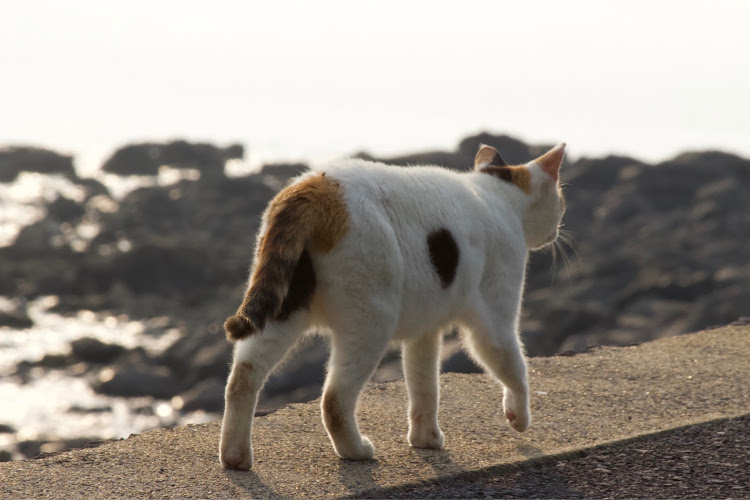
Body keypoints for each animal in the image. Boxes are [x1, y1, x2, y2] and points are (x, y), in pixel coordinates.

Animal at [220, 140, 568, 468]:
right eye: (562, 204)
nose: (558, 231)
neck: (496, 193)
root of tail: (315, 188)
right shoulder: (495, 320)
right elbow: (513, 367)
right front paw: (519, 418)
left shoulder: (425, 331)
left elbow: (423, 382)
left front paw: (425, 439)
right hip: (371, 322)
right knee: (334, 399)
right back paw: (356, 451)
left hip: (282, 309)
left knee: (243, 377)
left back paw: (235, 456)